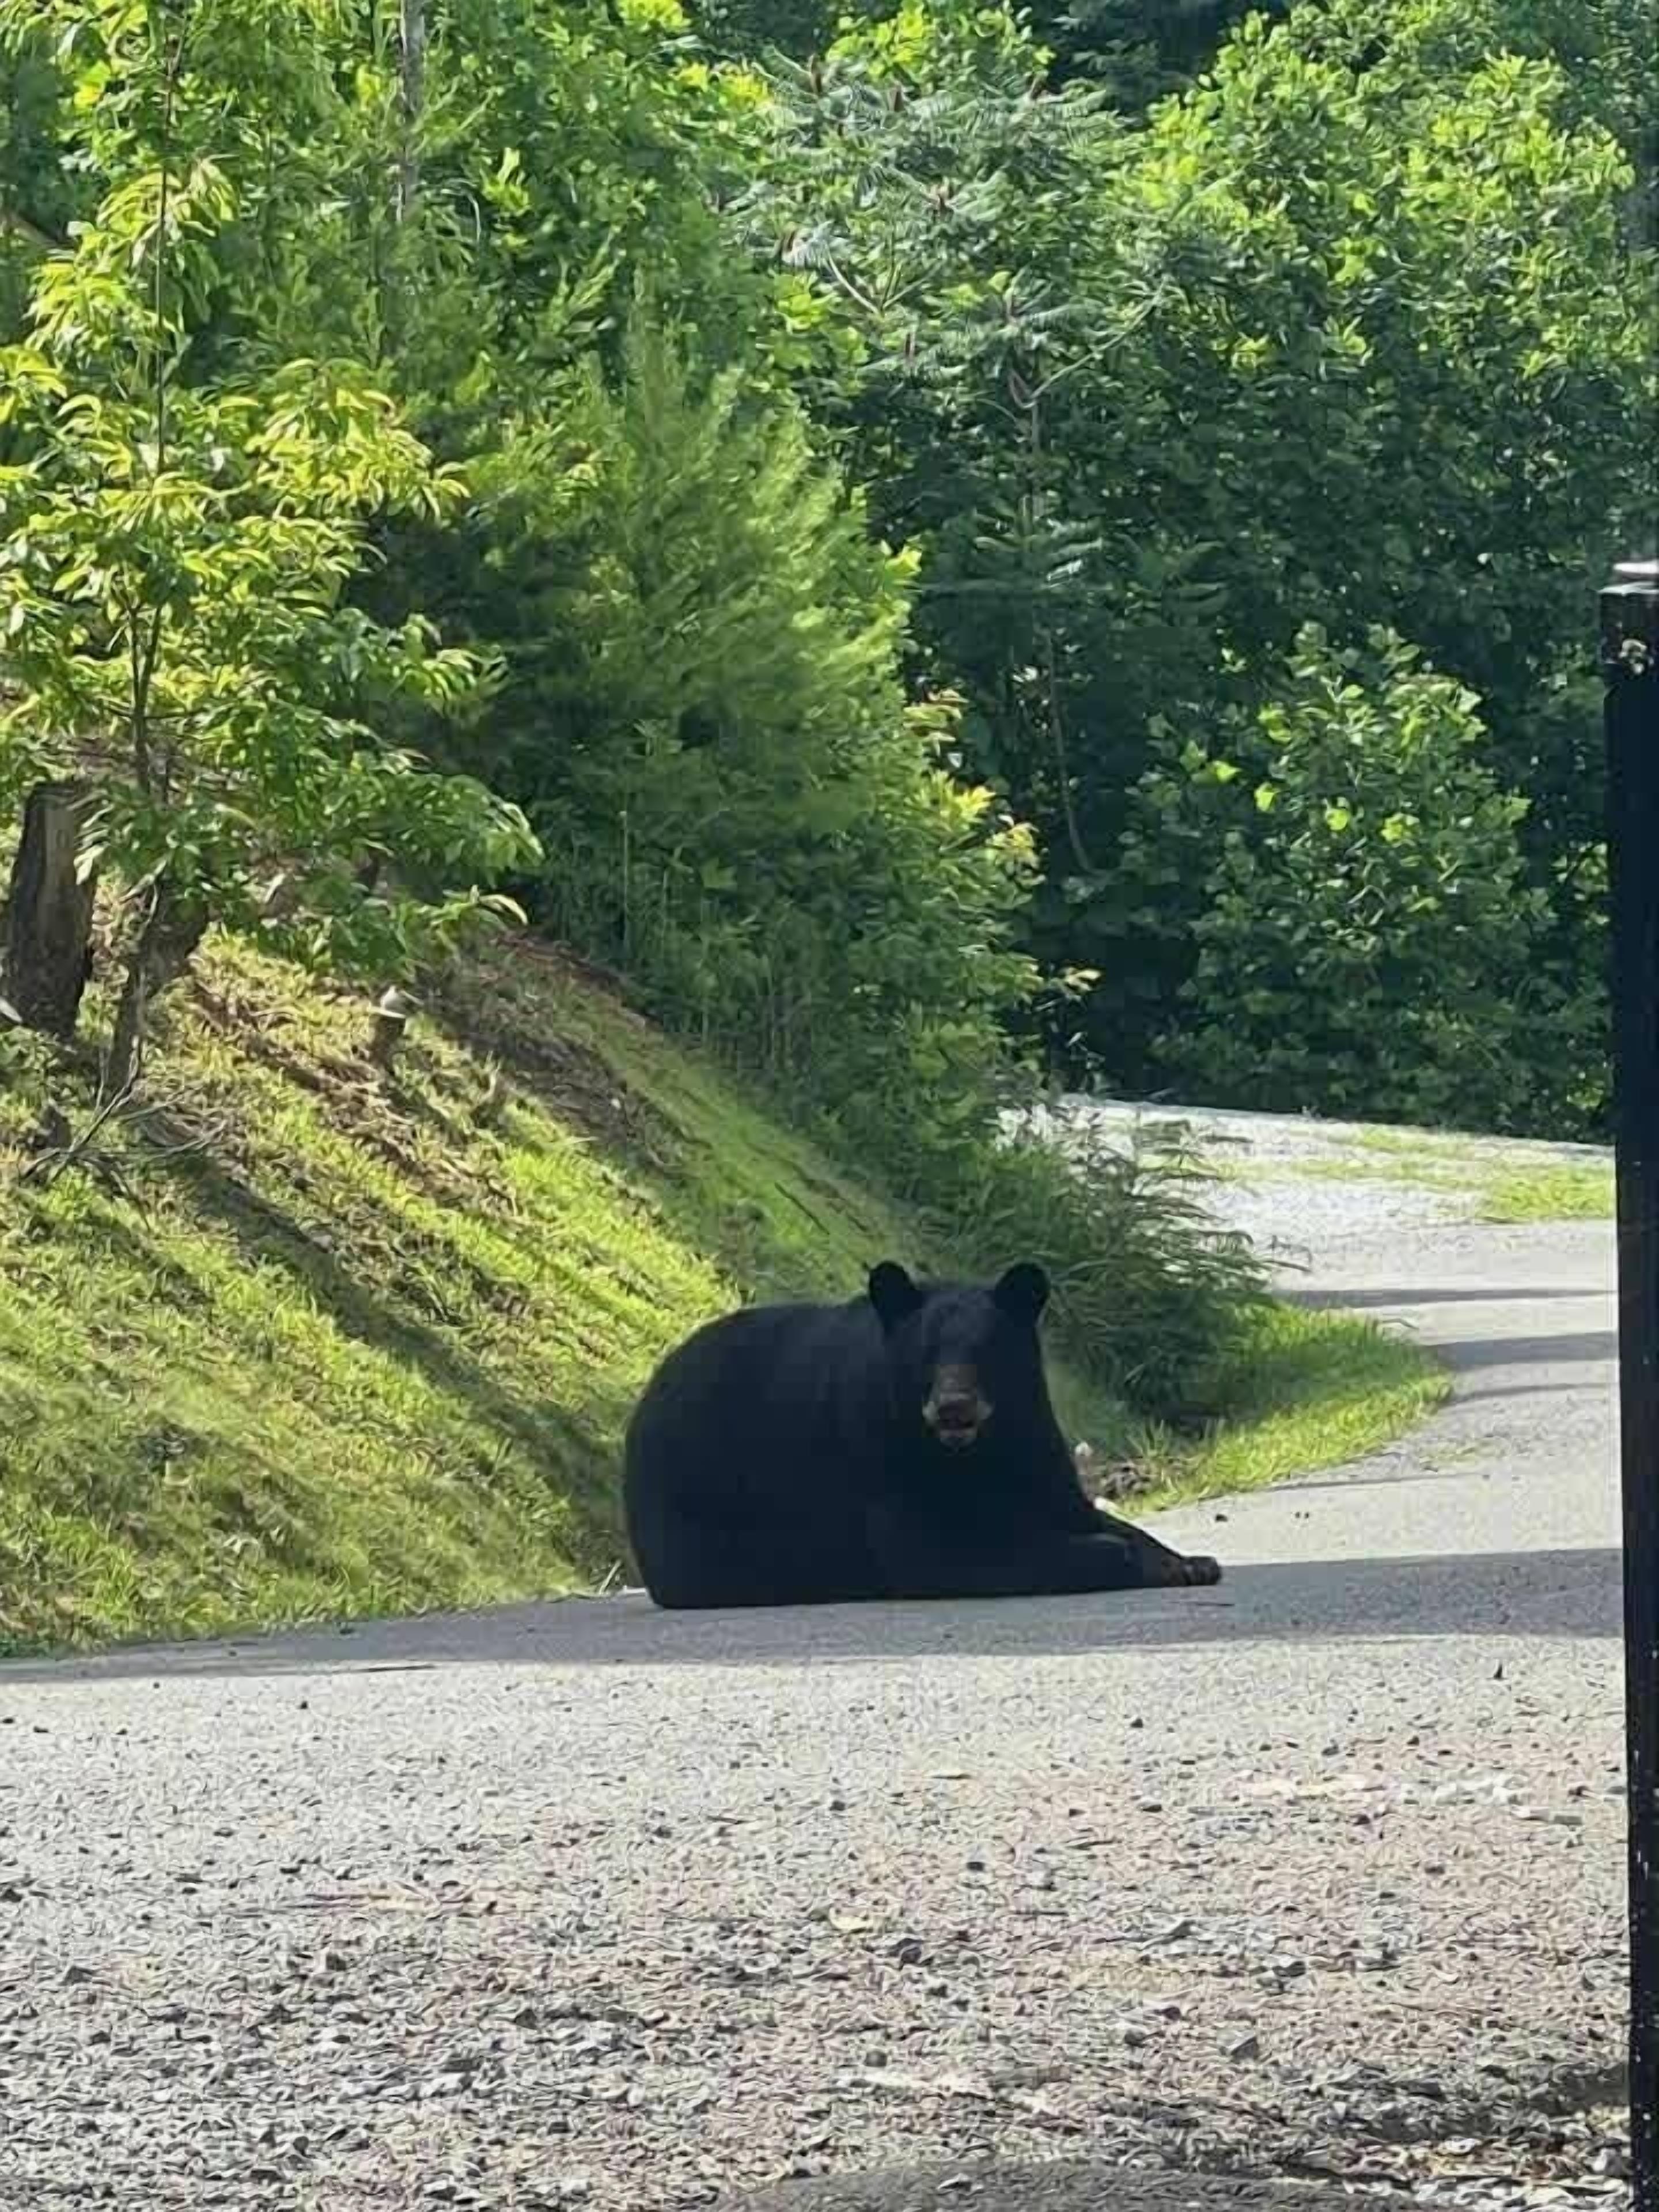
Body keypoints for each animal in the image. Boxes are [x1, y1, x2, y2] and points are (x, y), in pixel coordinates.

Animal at [622, 1259, 1222, 1609]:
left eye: (986, 1349)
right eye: (926, 1352)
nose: (954, 1408)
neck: (972, 1451)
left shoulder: (1030, 1432)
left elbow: (1071, 1505)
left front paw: (1188, 1561)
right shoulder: (880, 1448)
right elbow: (935, 1548)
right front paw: (1115, 1556)